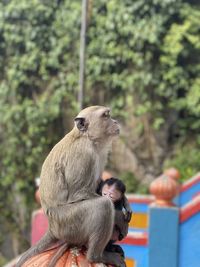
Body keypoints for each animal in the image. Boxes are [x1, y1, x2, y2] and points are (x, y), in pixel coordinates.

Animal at [17, 107, 126, 267]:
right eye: (106, 116)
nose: (116, 121)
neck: (87, 138)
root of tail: (52, 227)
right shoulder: (84, 154)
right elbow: (79, 194)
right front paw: (118, 215)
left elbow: (99, 185)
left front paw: (124, 201)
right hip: (68, 224)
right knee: (103, 206)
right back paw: (96, 256)